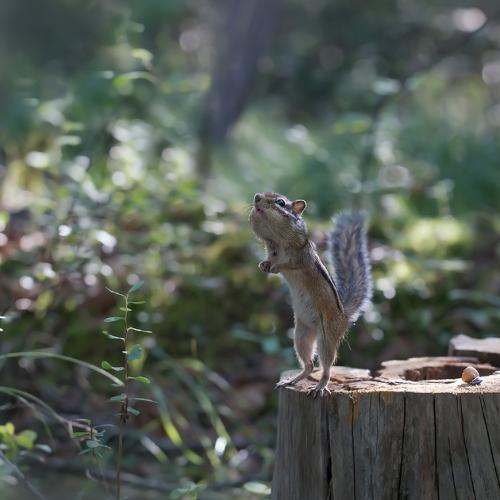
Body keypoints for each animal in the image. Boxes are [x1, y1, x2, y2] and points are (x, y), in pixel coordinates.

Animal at [249, 191, 372, 396]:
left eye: (280, 202)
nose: (257, 197)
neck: (278, 241)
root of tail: (345, 317)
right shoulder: (271, 250)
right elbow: (269, 259)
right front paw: (264, 265)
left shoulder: (301, 258)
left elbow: (289, 264)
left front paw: (276, 267)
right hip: (301, 335)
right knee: (309, 366)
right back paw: (291, 380)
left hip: (327, 338)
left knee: (326, 368)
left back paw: (320, 386)